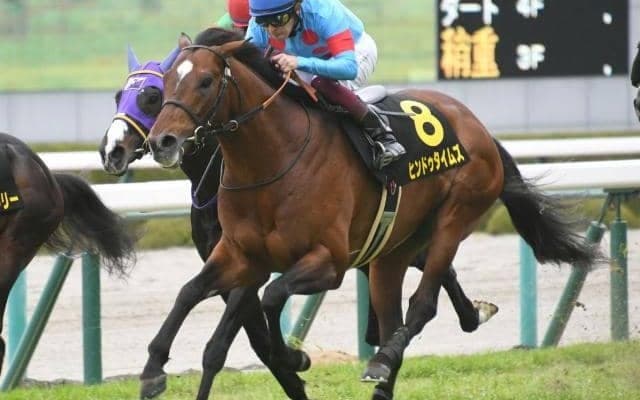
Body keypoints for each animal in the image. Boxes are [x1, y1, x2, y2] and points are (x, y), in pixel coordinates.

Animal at [144, 34, 598, 400]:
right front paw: (152, 371)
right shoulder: (242, 256)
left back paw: (384, 357)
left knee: (422, 305)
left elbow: (272, 297)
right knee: (395, 313)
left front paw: (294, 357)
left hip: (455, 217)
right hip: (391, 251)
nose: (161, 141)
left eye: (205, 81)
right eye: (164, 84)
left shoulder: (328, 261)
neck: (274, 160)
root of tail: (479, 127)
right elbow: (189, 293)